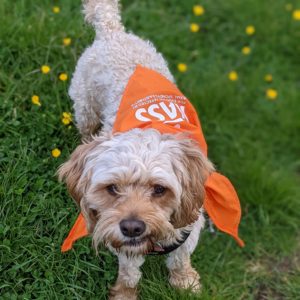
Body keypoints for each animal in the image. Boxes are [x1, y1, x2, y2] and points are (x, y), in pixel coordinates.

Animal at [59, 1, 244, 298]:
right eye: (112, 188)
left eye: (159, 189)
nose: (132, 227)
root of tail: (112, 30)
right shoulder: (123, 241)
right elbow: (129, 271)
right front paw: (125, 292)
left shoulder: (188, 229)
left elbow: (180, 258)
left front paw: (184, 281)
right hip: (85, 106)